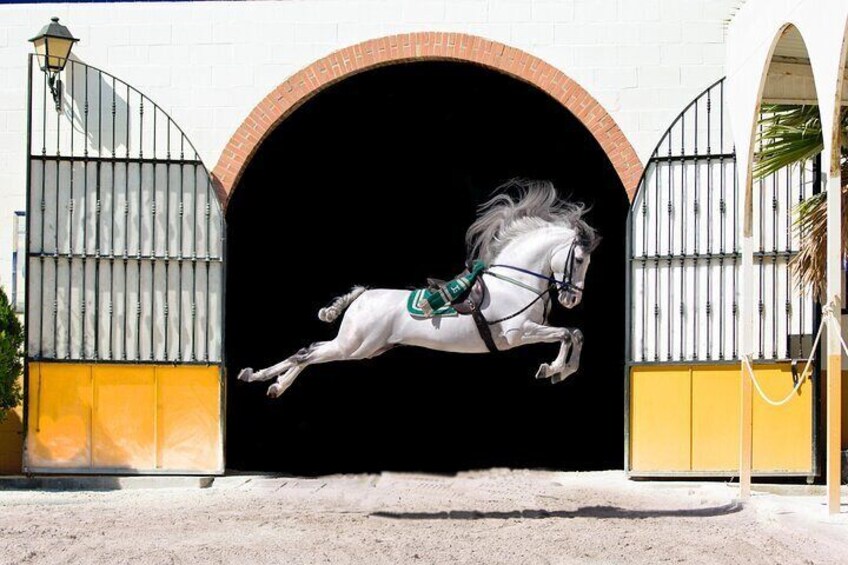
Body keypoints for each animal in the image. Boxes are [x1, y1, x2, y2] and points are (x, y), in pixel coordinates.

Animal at [235, 181, 600, 396]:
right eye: (581, 259)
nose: (572, 298)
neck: (515, 283)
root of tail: (363, 295)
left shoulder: (530, 330)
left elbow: (576, 333)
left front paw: (561, 371)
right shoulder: (518, 332)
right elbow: (567, 333)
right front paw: (553, 368)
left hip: (362, 346)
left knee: (307, 352)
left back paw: (266, 380)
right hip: (355, 346)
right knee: (307, 353)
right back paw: (265, 379)